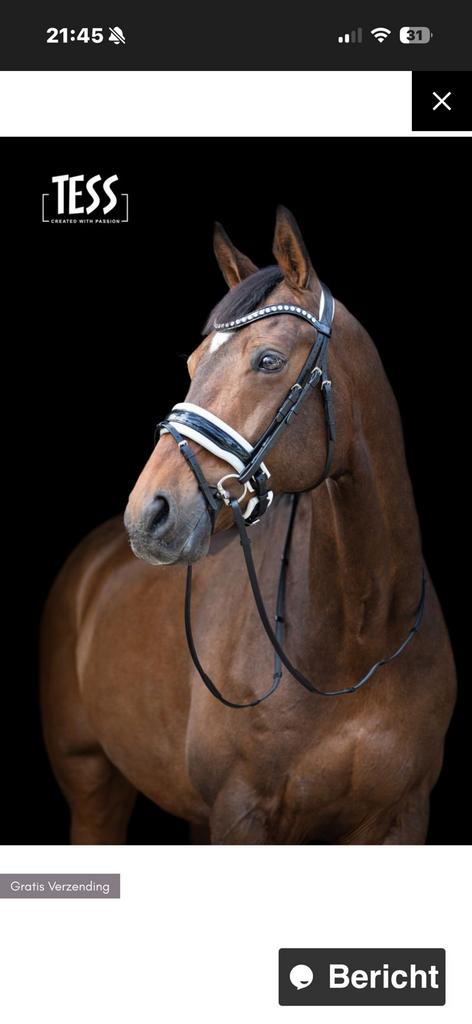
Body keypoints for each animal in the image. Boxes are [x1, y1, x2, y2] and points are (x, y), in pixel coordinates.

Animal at [40, 207, 456, 844]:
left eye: (268, 360)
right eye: (193, 363)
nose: (150, 512)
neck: (361, 637)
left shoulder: (401, 815)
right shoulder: (241, 814)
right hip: (92, 785)